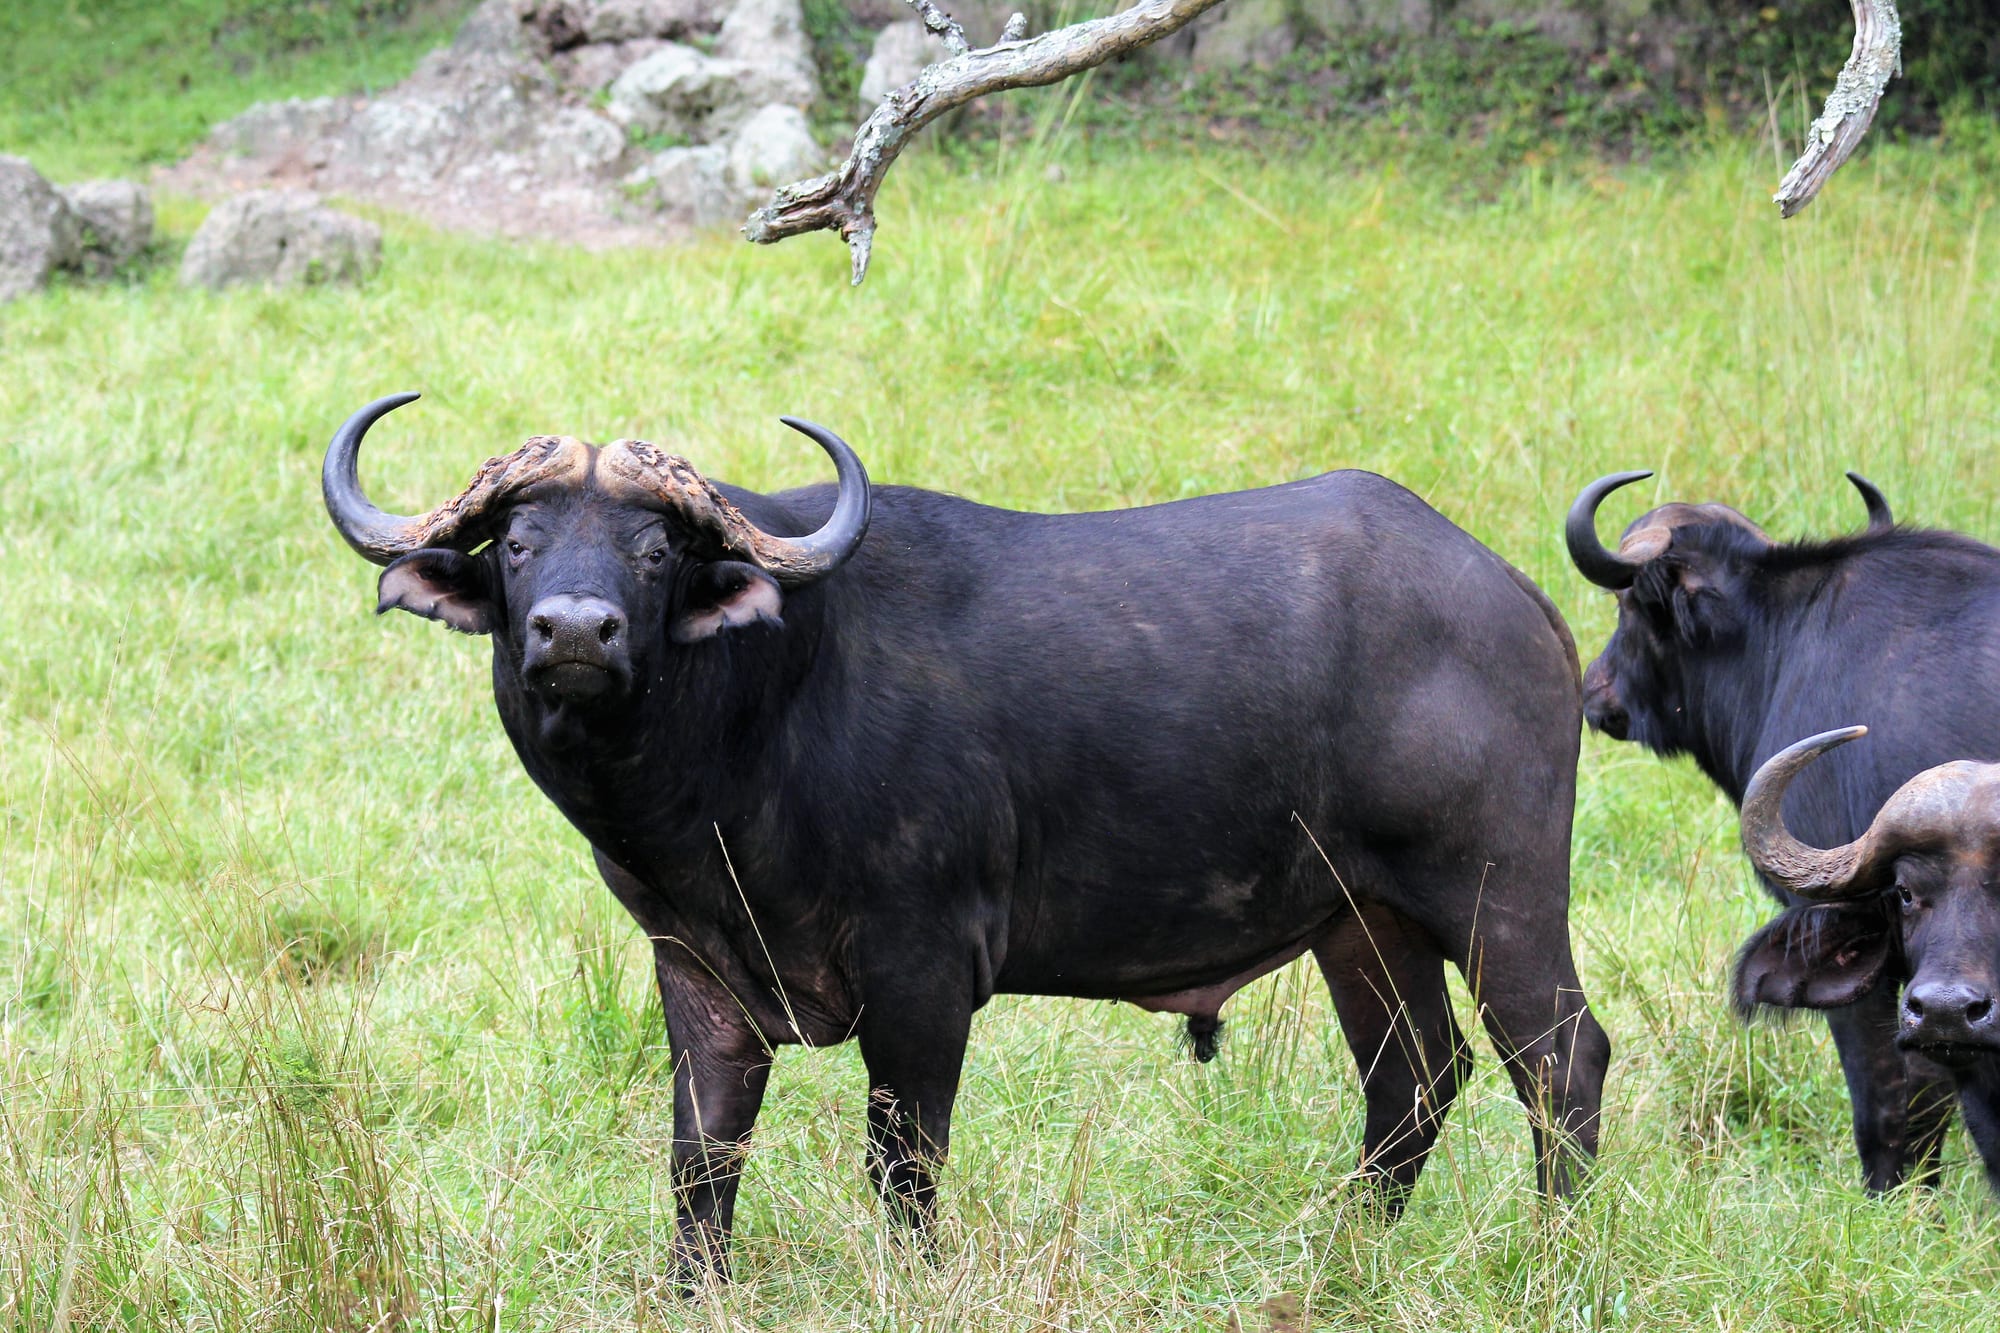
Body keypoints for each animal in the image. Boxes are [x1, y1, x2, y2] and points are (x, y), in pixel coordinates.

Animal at [326, 393, 1609, 1282]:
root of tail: (1514, 598)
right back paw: (1344, 1244)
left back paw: (1553, 1252)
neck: (759, 726)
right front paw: (697, 1286)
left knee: (1557, 1058)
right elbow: (702, 1152)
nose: (575, 631)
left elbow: (904, 1155)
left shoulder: (923, 969)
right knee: (1412, 1076)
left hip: (1496, 891)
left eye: (655, 551)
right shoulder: (694, 963)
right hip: (1359, 920)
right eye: (519, 543)